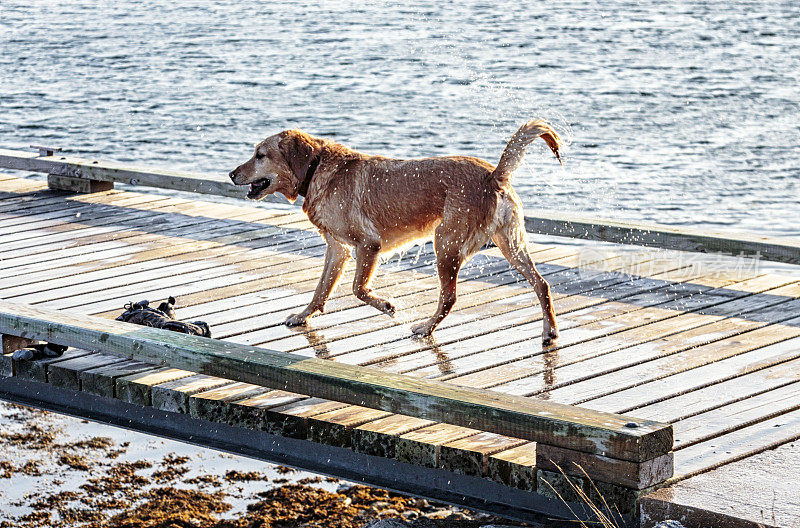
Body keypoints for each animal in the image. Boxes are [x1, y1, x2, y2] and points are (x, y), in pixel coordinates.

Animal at [227, 119, 564, 342]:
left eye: (260, 155)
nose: (231, 174)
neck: (316, 169)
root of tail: (493, 175)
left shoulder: (368, 245)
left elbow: (358, 289)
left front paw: (388, 306)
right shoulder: (337, 249)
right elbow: (321, 289)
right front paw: (302, 315)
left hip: (445, 242)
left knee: (449, 297)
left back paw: (425, 327)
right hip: (510, 243)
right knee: (542, 283)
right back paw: (549, 331)